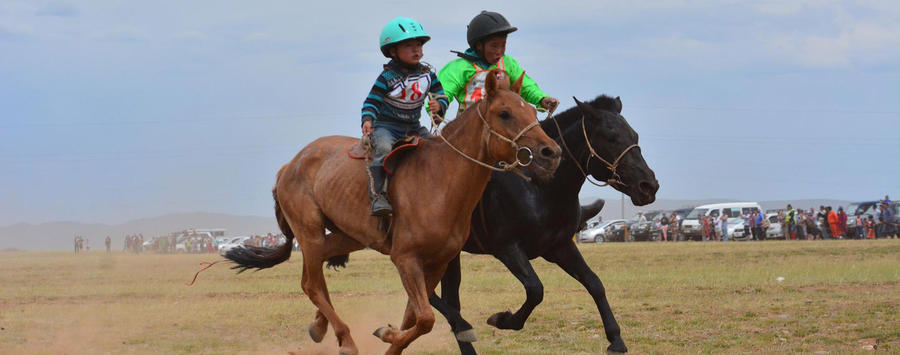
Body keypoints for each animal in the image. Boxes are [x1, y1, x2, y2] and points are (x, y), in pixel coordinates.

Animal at [225, 69, 560, 355]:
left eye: (532, 112)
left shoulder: (437, 263)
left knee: (315, 275)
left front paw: (390, 338)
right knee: (312, 283)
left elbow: (414, 317)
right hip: (309, 233)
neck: (440, 180)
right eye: (504, 113)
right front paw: (387, 334)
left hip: (347, 237)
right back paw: (345, 339)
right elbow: (425, 318)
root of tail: (288, 166)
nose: (551, 153)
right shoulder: (406, 259)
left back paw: (319, 326)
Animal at [428, 96, 660, 354]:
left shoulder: (559, 247)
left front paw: (616, 339)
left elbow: (594, 283)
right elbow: (535, 290)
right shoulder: (507, 248)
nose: (648, 186)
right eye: (611, 137)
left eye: (635, 135)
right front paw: (502, 319)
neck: (538, 186)